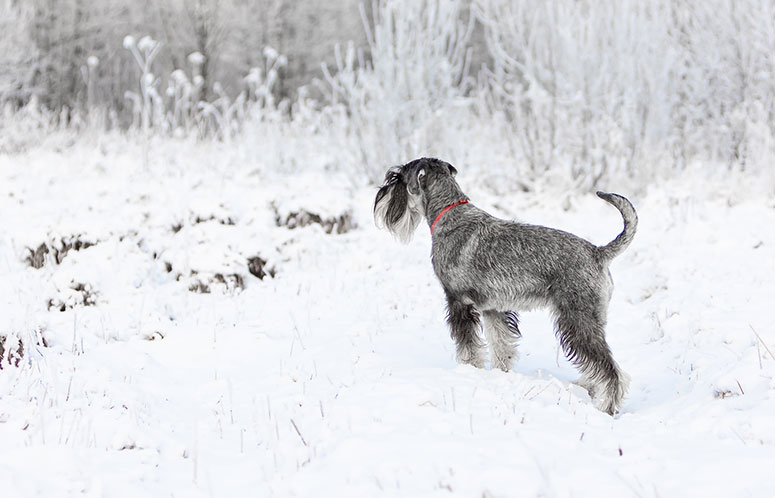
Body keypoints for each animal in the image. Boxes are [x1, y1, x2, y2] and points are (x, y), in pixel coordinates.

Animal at [374, 158, 636, 414]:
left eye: (397, 178)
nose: (381, 195)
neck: (449, 213)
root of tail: (598, 253)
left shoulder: (458, 300)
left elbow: (468, 346)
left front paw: (469, 370)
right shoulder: (493, 308)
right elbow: (501, 345)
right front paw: (500, 373)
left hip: (577, 319)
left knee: (610, 369)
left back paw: (606, 405)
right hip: (593, 318)